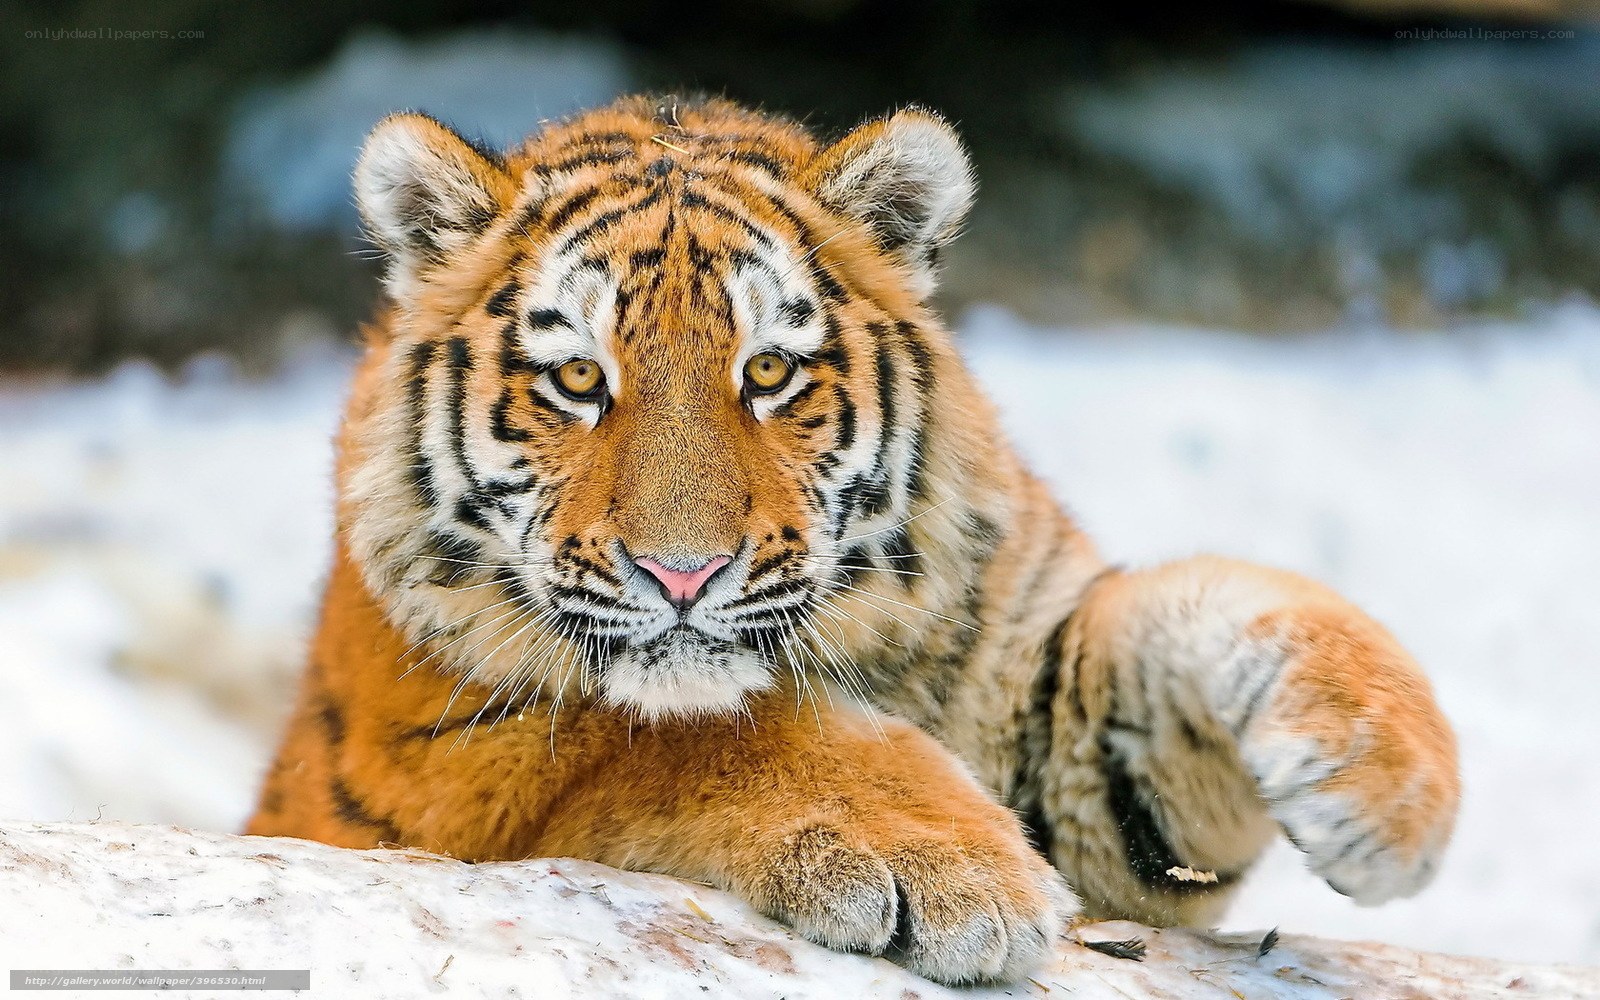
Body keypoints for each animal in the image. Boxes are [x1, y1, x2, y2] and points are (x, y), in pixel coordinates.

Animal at [247, 95, 1460, 985]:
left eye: (770, 372)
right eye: (580, 380)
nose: (682, 573)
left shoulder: (1055, 711)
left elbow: (1208, 602)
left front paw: (1388, 785)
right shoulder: (446, 760)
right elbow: (684, 733)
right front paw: (947, 867)